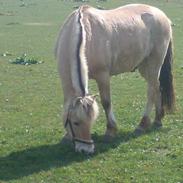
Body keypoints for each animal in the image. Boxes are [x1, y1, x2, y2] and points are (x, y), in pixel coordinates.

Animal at [55, 3, 175, 154]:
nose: (86, 149)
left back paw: (142, 124)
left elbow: (106, 103)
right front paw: (66, 136)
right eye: (75, 122)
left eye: (91, 121)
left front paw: (111, 131)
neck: (84, 34)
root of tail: (162, 15)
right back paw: (158, 119)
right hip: (144, 66)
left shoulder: (103, 76)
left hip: (154, 63)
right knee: (157, 88)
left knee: (151, 92)